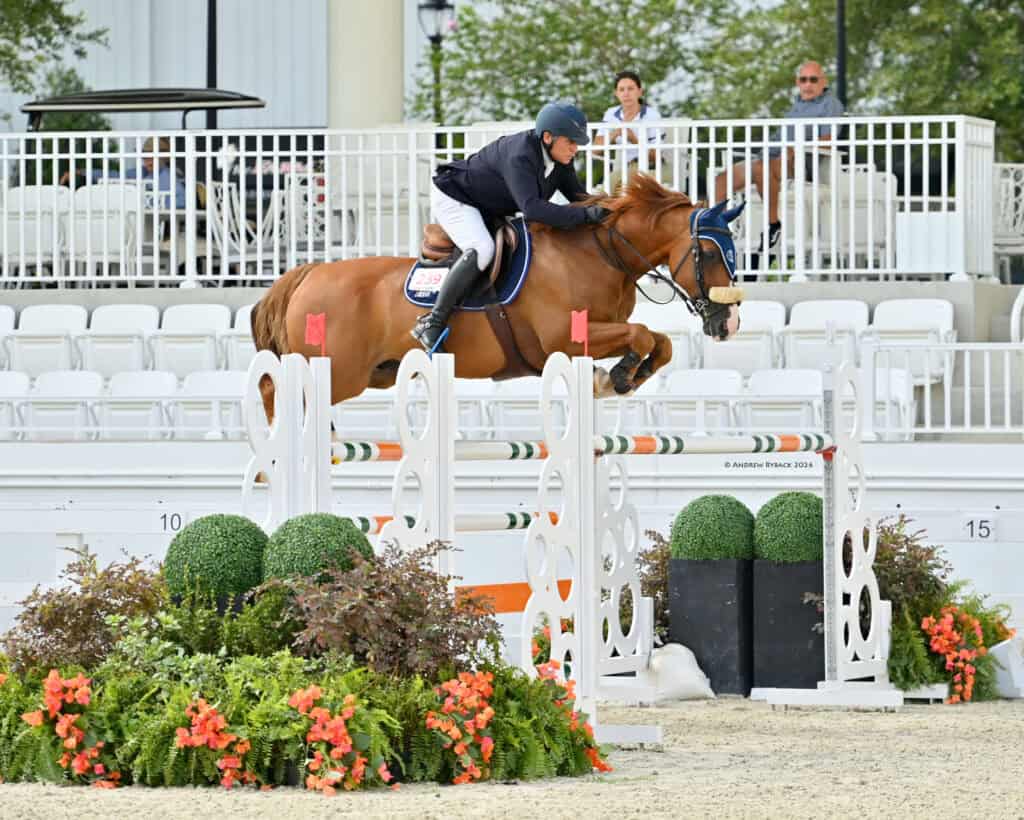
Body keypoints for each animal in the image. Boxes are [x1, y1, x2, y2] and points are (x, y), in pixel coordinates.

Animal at [249, 175, 745, 423]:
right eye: (706, 252)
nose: (730, 325)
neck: (600, 253)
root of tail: (308, 273)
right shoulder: (564, 339)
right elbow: (642, 335)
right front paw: (619, 375)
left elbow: (660, 342)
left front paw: (622, 377)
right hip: (335, 370)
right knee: (275, 389)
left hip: (375, 373)